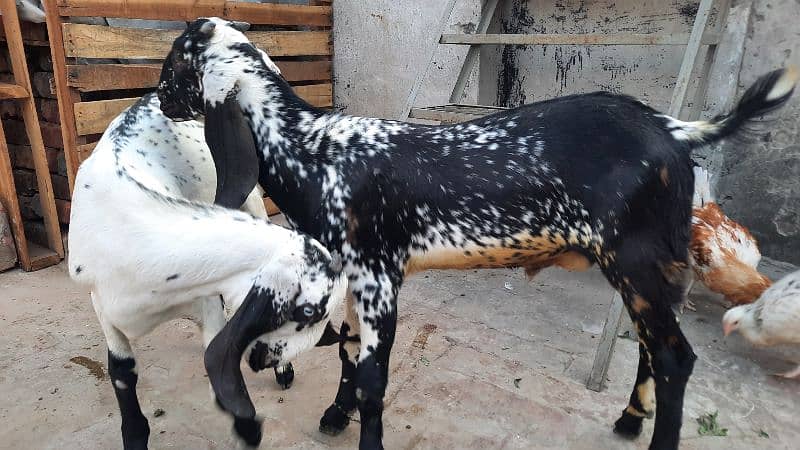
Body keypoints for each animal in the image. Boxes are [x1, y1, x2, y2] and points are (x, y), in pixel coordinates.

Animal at [71, 92, 350, 450]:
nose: (331, 338)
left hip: (253, 202)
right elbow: (121, 372)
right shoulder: (102, 306)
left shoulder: (205, 299)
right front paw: (134, 435)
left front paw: (247, 427)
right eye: (307, 312)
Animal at [156, 18, 800, 450]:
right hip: (650, 267)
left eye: (174, 67)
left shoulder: (379, 277)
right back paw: (627, 418)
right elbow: (346, 350)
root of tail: (674, 128)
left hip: (635, 258)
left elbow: (372, 378)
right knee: (649, 345)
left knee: (674, 357)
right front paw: (335, 416)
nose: (158, 99)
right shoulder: (349, 275)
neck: (317, 151)